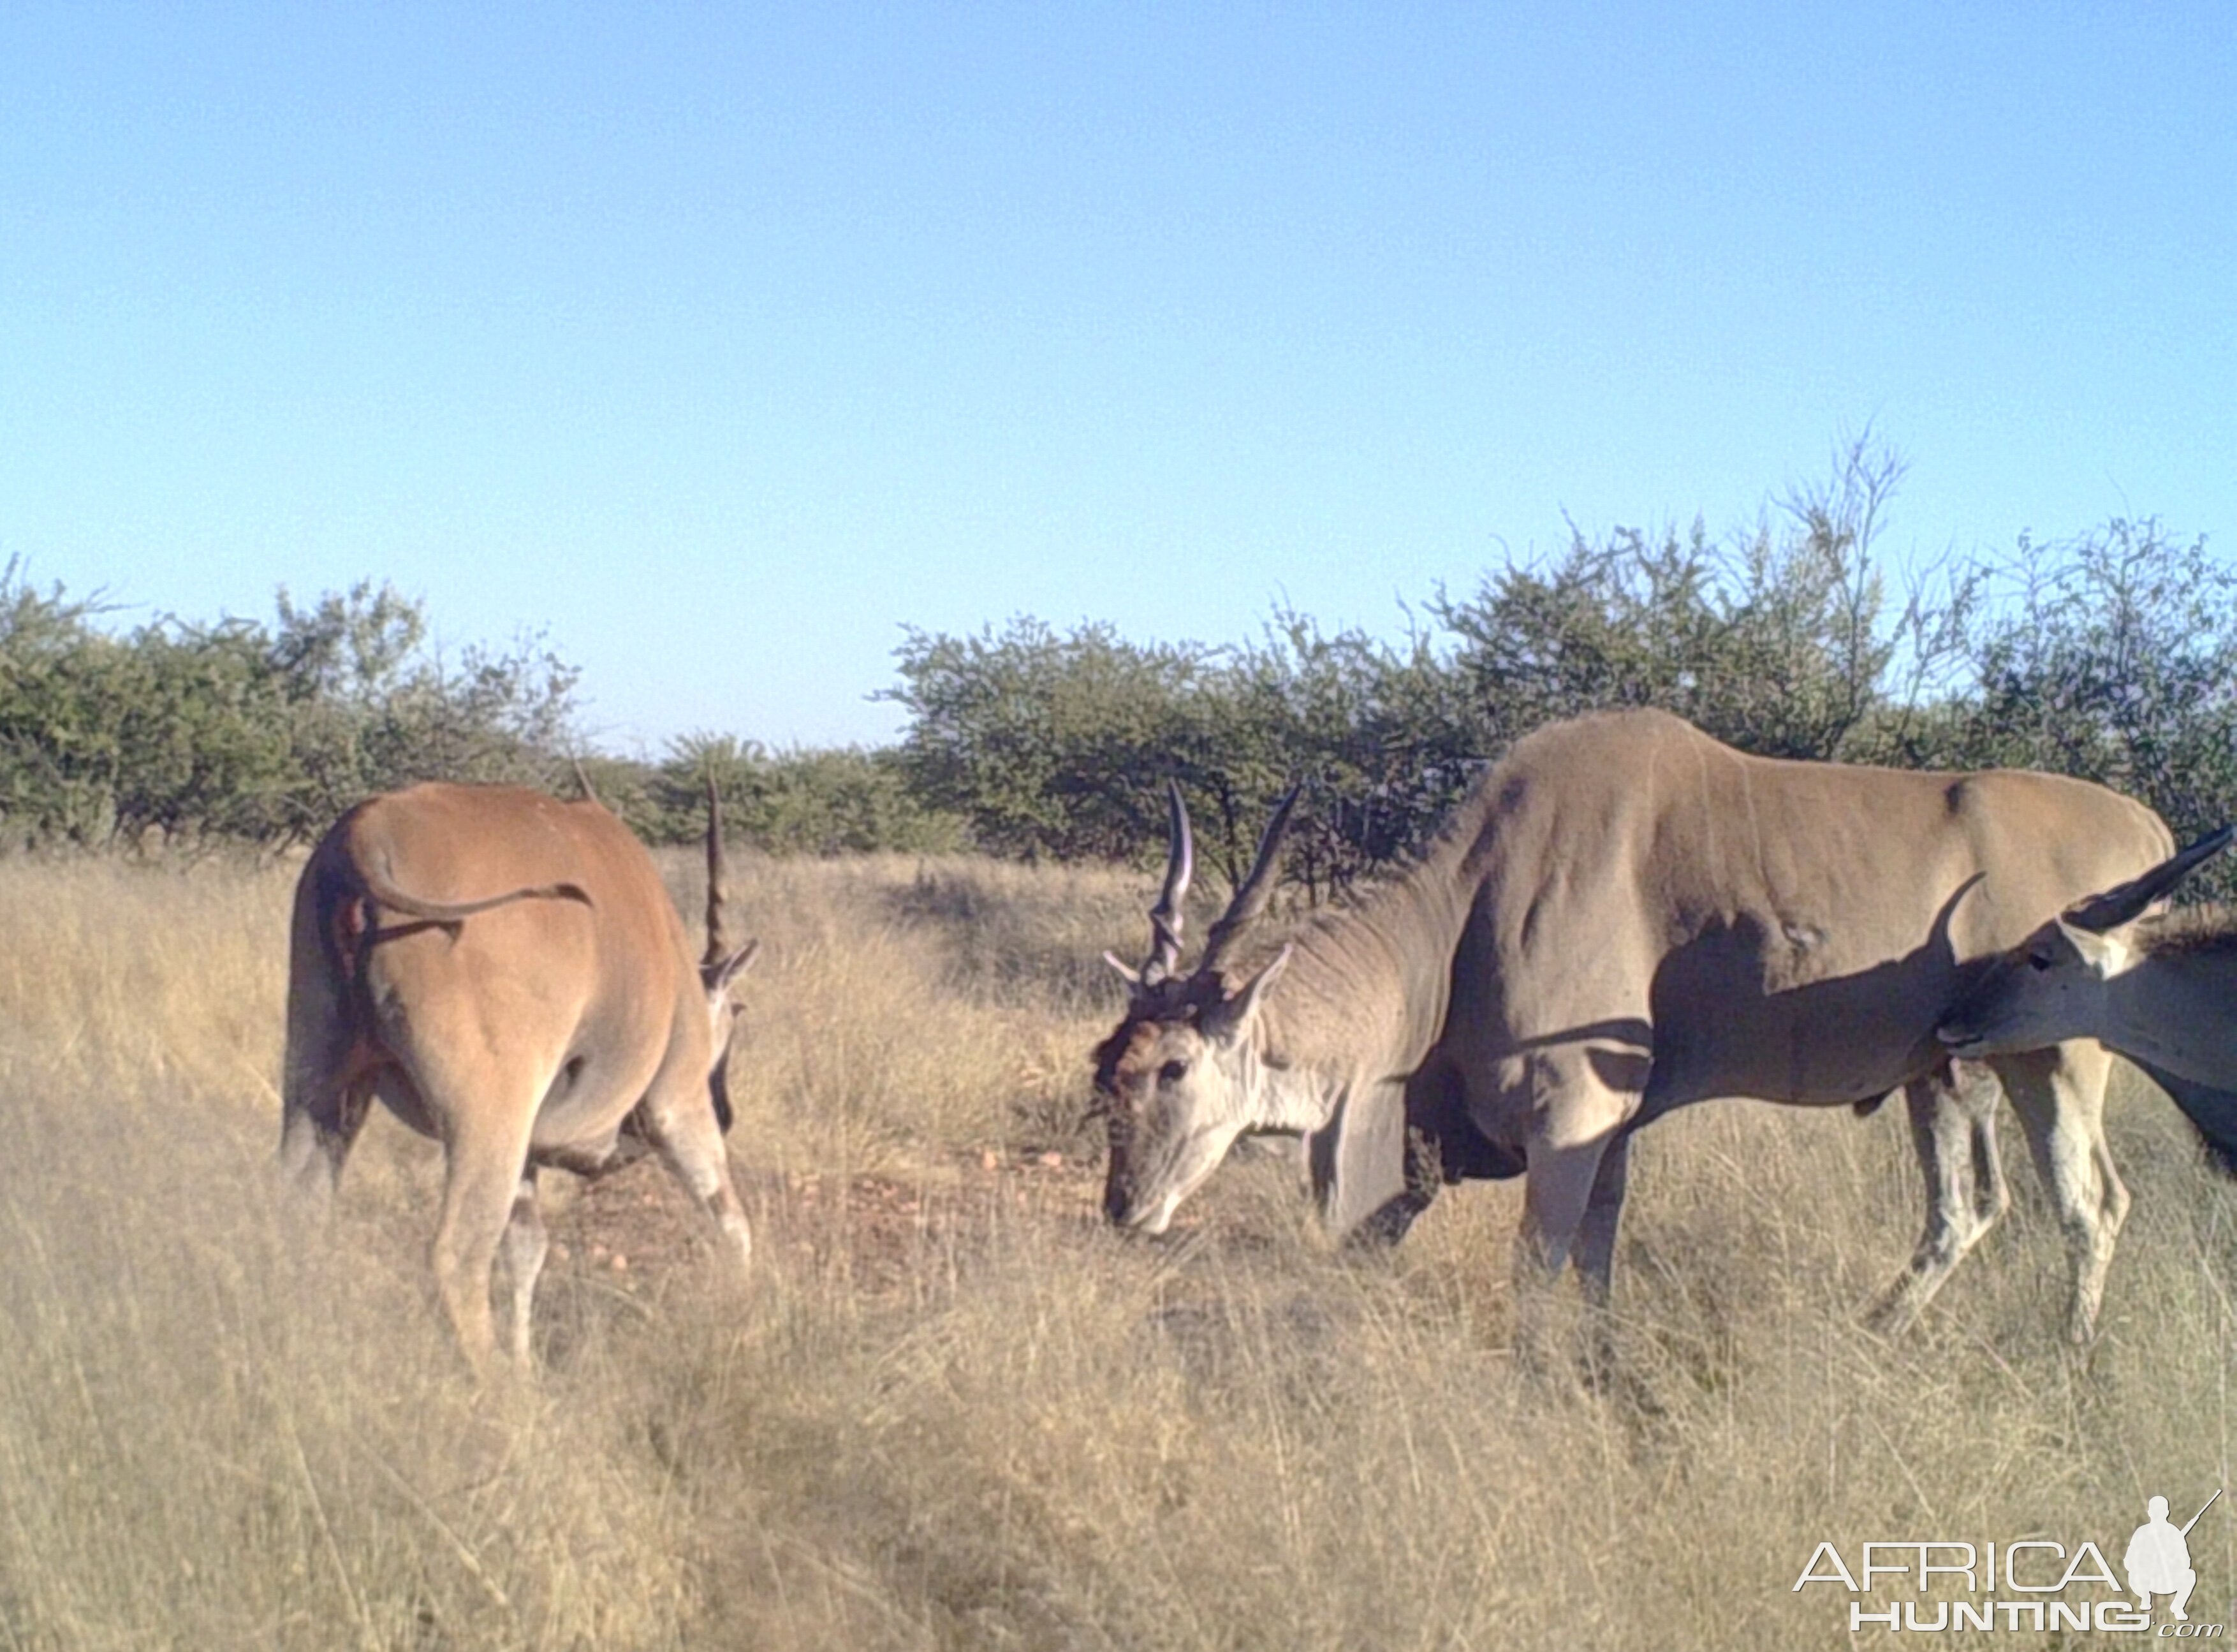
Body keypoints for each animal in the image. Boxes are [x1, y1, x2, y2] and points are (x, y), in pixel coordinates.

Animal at [276, 778, 751, 1368]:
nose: (727, 1110)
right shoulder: (677, 1105)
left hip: (319, 1093)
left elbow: (526, 1250)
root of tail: (365, 833)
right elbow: (730, 1219)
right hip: (487, 1119)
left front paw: (526, 1361)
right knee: (457, 1255)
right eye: (734, 1016)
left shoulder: (527, 1153)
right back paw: (501, 1386)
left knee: (296, 1211)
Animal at [1100, 710, 2183, 1341]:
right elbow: (1596, 1265)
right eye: (1105, 1066)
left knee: (2093, 1204)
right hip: (1948, 1074)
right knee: (1966, 1209)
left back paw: (2070, 1359)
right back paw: (1873, 1332)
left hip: (2057, 1059)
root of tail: (2150, 828)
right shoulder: (1603, 1132)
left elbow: (1539, 1271)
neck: (1467, 909)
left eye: (1174, 1069)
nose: (1124, 1210)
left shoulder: (1571, 1117)